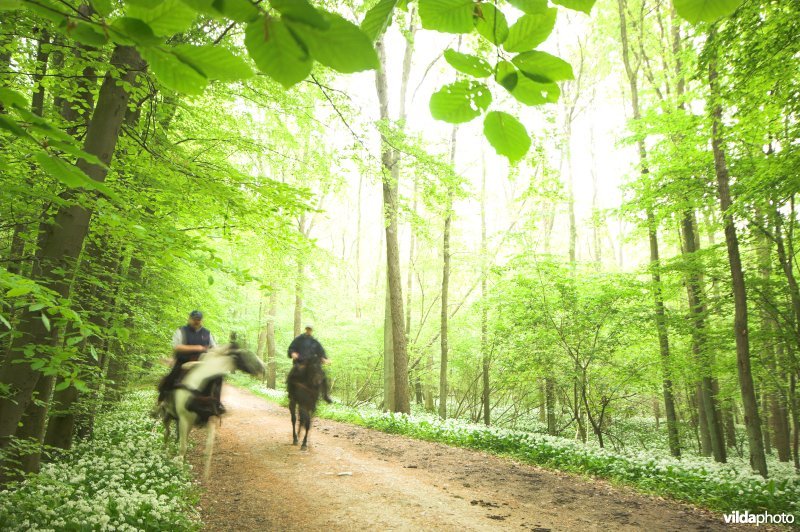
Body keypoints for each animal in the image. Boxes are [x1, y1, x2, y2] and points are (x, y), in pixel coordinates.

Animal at [157, 342, 266, 480]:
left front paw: (205, 476)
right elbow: (183, 447)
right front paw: (179, 467)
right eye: (244, 355)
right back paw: (164, 449)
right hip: (167, 415)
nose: (263, 369)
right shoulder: (184, 420)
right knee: (167, 432)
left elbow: (208, 449)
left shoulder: (210, 420)